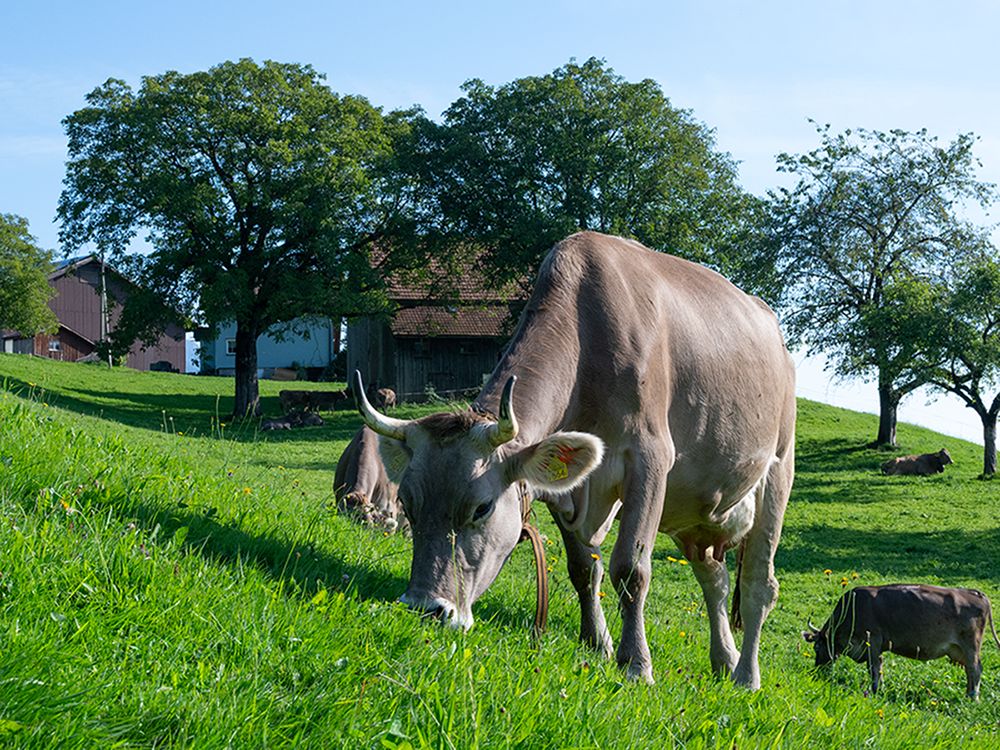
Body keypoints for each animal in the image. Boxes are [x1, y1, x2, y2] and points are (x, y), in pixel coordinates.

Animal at [354, 231, 796, 688]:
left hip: (778, 467)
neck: (588, 337)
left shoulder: (650, 458)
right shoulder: (566, 489)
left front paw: (636, 663)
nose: (425, 607)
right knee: (716, 578)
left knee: (759, 584)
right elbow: (583, 569)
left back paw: (746, 674)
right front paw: (597, 642)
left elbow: (631, 569)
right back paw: (724, 658)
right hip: (696, 511)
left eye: (482, 508)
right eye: (407, 504)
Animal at [803, 584, 1000, 699]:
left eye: (817, 647)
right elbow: (879, 667)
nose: (816, 671)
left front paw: (875, 690)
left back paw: (973, 697)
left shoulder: (872, 641)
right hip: (960, 650)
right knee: (969, 670)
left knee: (975, 669)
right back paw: (968, 694)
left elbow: (874, 668)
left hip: (971, 646)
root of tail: (974, 593)